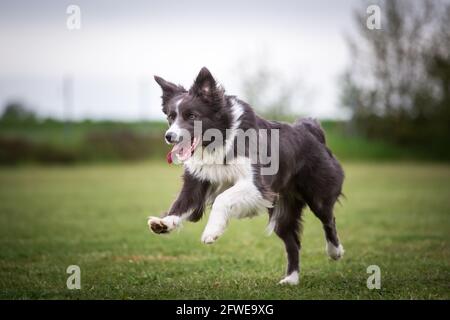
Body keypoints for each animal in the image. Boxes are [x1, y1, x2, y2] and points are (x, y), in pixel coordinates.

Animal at [149, 66, 344, 284]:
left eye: (191, 116)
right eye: (171, 117)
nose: (169, 136)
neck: (220, 138)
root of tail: (311, 130)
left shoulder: (256, 185)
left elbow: (222, 199)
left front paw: (211, 231)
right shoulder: (197, 180)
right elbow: (181, 203)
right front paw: (164, 223)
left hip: (318, 193)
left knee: (328, 219)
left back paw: (335, 251)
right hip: (282, 210)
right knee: (292, 242)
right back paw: (291, 279)